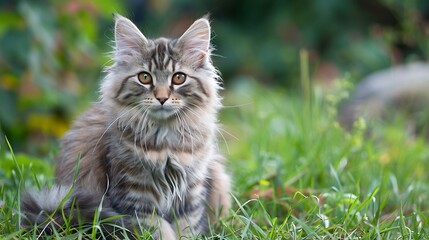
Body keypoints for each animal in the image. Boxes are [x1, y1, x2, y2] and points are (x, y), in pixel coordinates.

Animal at [20, 14, 231, 239]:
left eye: (179, 77)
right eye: (145, 77)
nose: (162, 98)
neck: (165, 141)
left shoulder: (191, 193)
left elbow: (187, 228)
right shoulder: (134, 198)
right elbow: (159, 230)